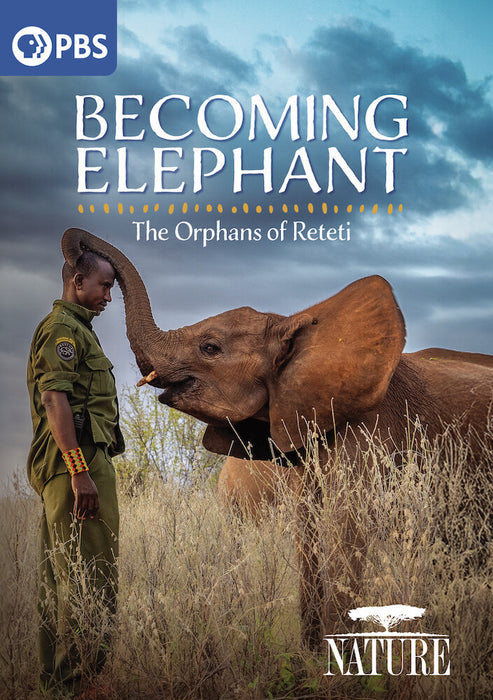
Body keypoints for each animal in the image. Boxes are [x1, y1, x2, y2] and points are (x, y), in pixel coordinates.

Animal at [61, 228, 493, 647]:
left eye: (210, 347)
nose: (77, 248)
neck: (298, 325)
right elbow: (309, 537)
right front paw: (313, 653)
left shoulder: (372, 433)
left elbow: (345, 535)